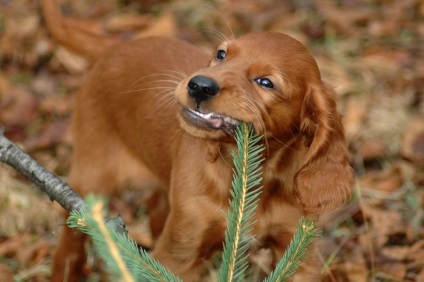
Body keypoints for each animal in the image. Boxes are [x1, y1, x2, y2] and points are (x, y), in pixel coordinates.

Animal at [44, 1, 354, 280]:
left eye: (266, 82)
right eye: (221, 54)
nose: (199, 85)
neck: (251, 174)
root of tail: (116, 46)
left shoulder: (297, 250)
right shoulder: (178, 256)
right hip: (93, 174)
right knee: (71, 238)